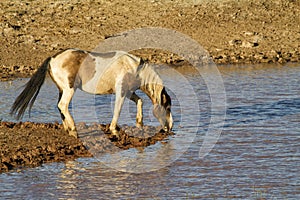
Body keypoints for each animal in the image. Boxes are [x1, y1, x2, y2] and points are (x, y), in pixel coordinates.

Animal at [9, 48, 173, 138]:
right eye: (168, 107)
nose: (170, 127)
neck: (133, 67)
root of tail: (53, 59)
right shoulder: (121, 92)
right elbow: (117, 111)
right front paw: (114, 131)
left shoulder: (128, 92)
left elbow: (140, 101)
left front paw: (139, 124)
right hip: (69, 89)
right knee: (63, 105)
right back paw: (73, 130)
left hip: (62, 90)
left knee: (60, 107)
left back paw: (68, 129)